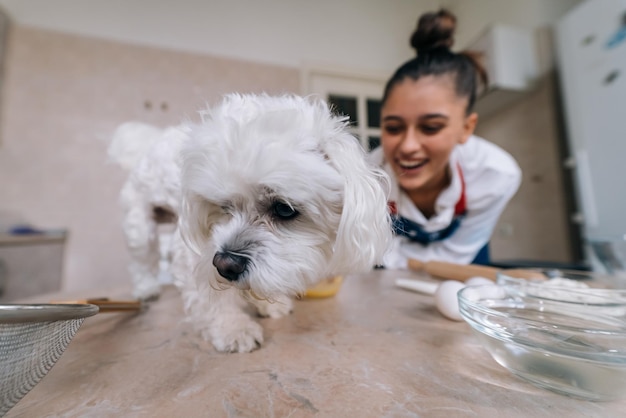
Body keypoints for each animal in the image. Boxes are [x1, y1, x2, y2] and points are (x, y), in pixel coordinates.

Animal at [108, 93, 390, 352]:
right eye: (223, 206)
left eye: (284, 209)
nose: (225, 264)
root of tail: (153, 142)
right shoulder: (193, 253)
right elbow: (211, 298)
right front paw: (232, 328)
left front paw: (266, 303)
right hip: (139, 225)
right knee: (141, 262)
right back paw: (146, 289)